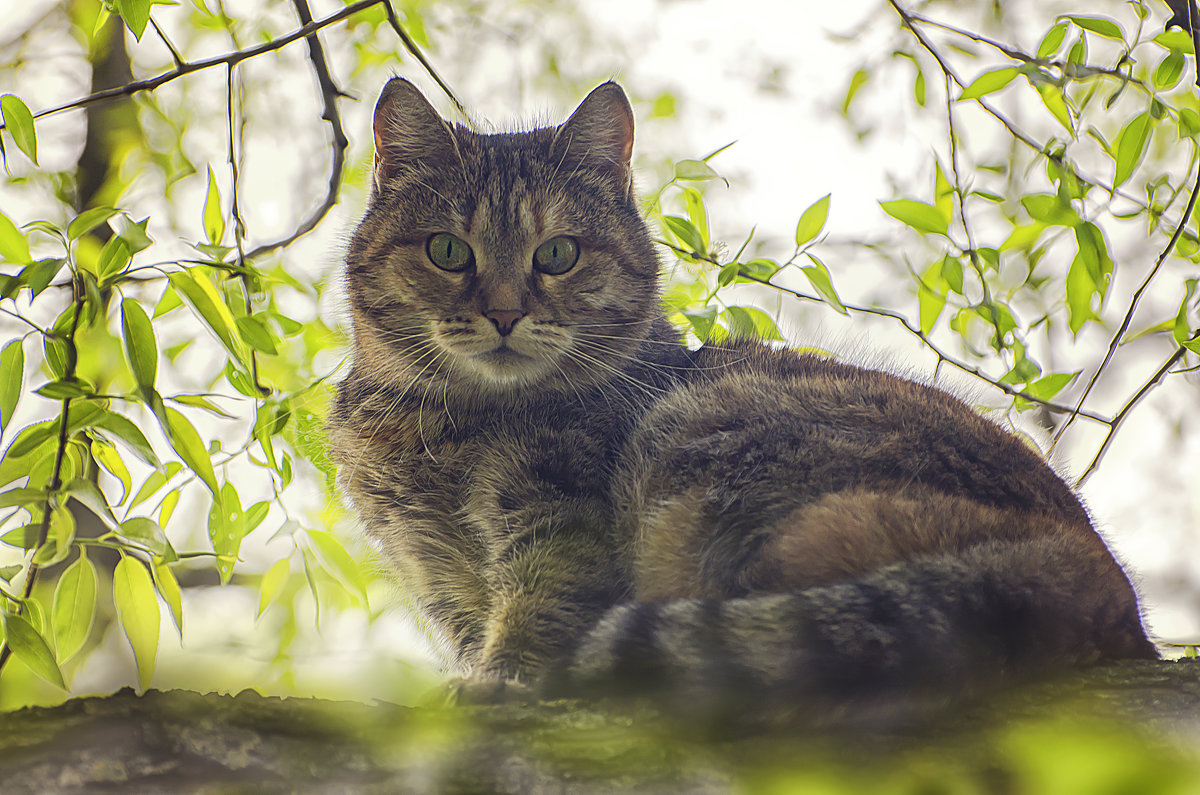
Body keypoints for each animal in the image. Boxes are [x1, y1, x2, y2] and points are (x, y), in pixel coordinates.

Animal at [326, 78, 1152, 720]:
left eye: (558, 254)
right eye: (447, 250)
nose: (503, 313)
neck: (435, 422)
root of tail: (1102, 571)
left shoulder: (563, 525)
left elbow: (543, 603)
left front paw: (503, 680)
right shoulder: (438, 577)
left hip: (702, 450)